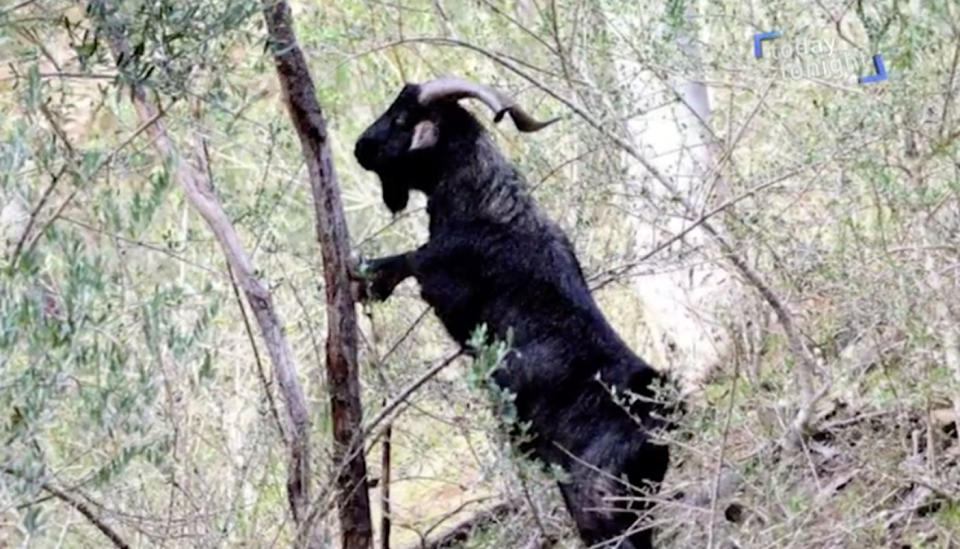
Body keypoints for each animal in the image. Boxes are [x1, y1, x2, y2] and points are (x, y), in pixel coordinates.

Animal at [354, 77, 676, 548]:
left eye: (401, 118)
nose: (360, 147)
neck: (487, 204)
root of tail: (655, 426)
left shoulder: (441, 276)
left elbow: (405, 260)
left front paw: (363, 276)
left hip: (597, 505)